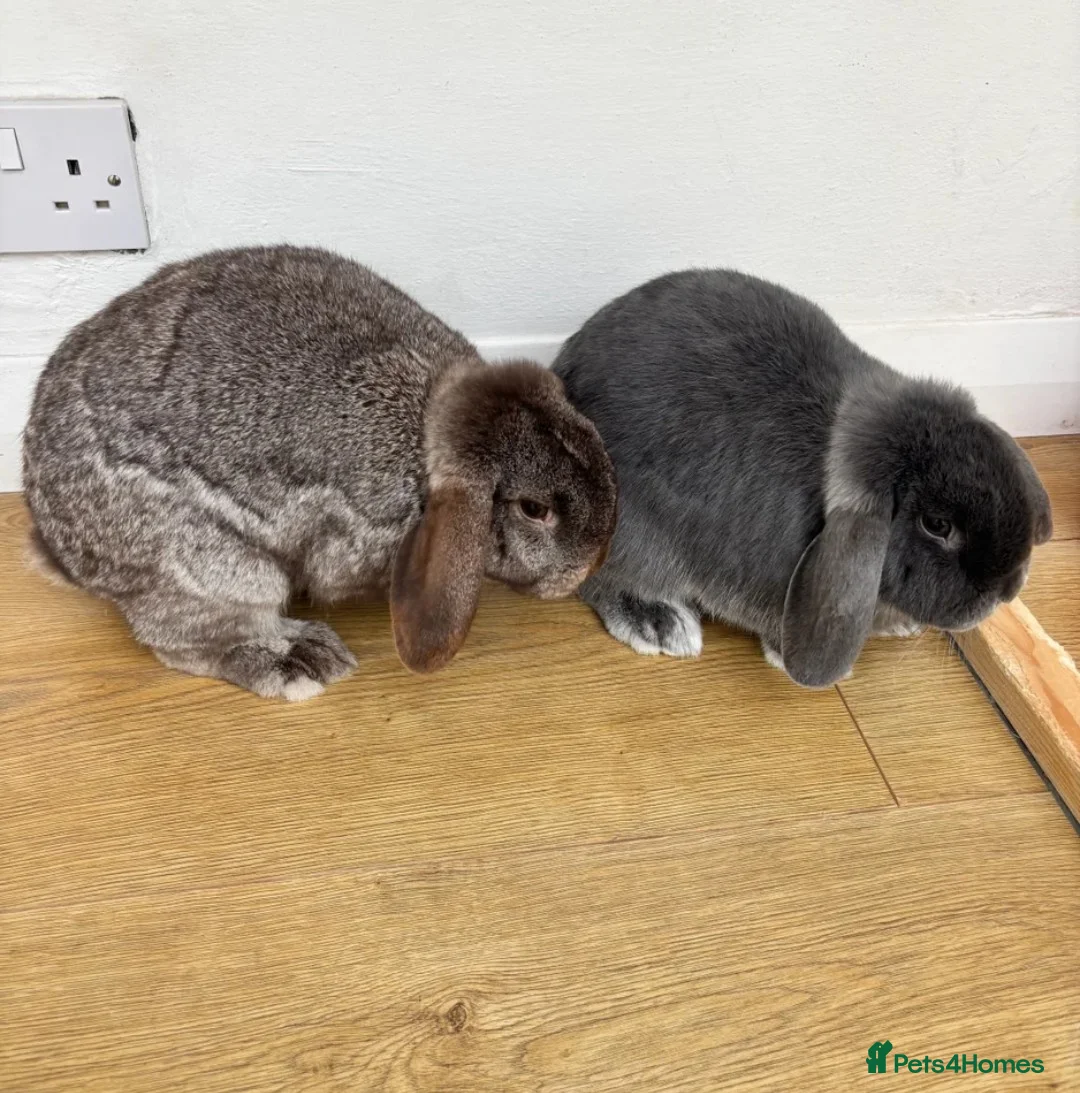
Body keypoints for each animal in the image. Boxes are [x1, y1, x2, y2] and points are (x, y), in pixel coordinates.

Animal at [23, 245, 617, 700]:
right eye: (535, 509)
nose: (594, 562)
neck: (429, 425)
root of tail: (64, 549)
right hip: (220, 572)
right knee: (183, 641)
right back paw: (298, 662)